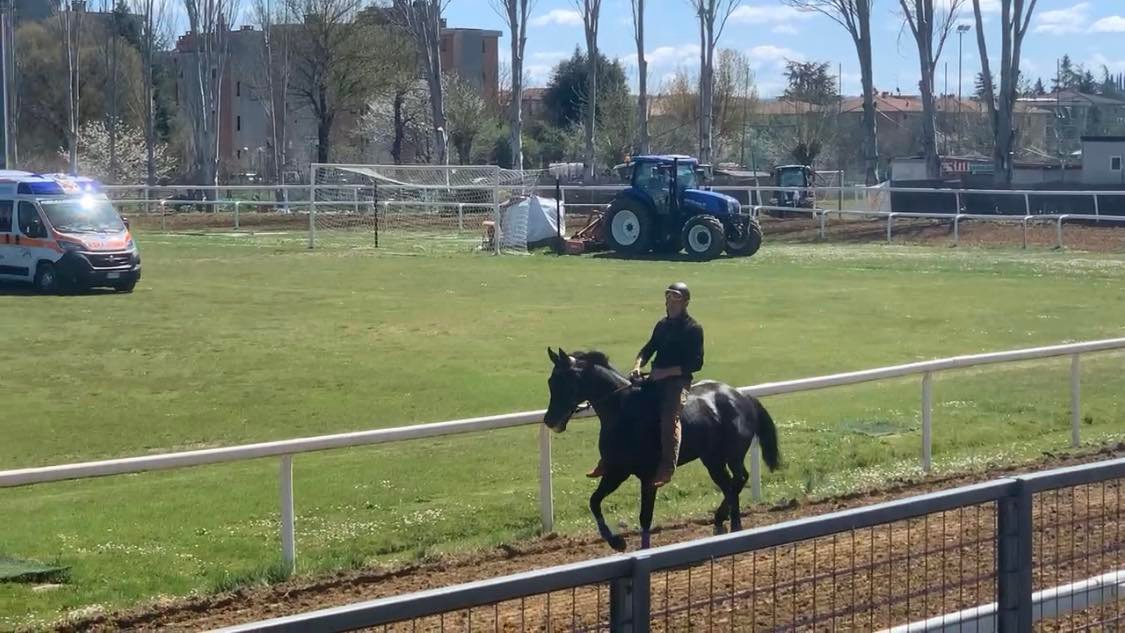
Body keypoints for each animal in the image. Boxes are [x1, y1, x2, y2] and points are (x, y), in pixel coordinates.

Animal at [544, 348, 783, 553]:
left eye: (565, 381)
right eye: (550, 381)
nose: (549, 420)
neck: (625, 411)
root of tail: (741, 396)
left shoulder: (647, 476)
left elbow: (645, 516)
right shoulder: (616, 471)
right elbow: (594, 502)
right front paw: (616, 542)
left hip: (731, 455)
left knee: (738, 480)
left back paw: (732, 525)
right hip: (712, 460)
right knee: (731, 485)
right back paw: (724, 524)